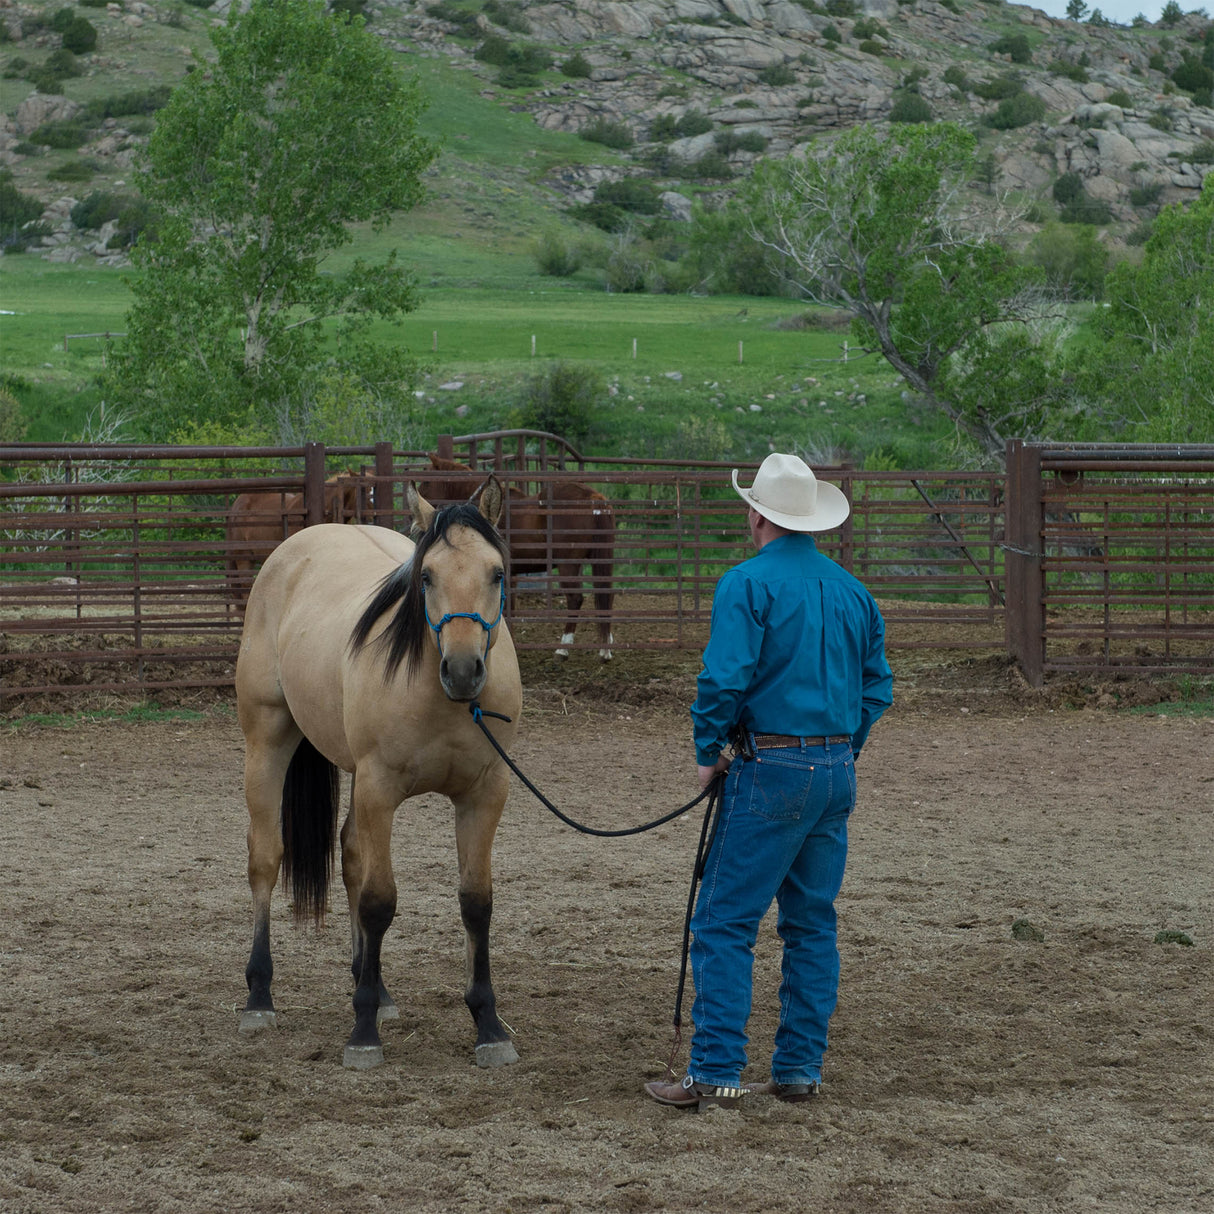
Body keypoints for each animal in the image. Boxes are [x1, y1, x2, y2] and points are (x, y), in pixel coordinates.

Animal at [235, 478, 522, 1068]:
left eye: (497, 573)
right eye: (427, 575)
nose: (464, 671)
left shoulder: (485, 794)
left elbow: (476, 903)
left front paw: (488, 1025)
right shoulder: (380, 789)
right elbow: (378, 901)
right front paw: (363, 1031)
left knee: (349, 854)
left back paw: (374, 985)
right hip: (268, 740)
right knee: (266, 859)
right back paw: (259, 996)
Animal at [424, 456, 616, 665]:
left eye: (426, 482)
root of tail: (595, 499)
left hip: (568, 565)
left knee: (575, 599)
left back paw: (563, 648)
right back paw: (605, 648)